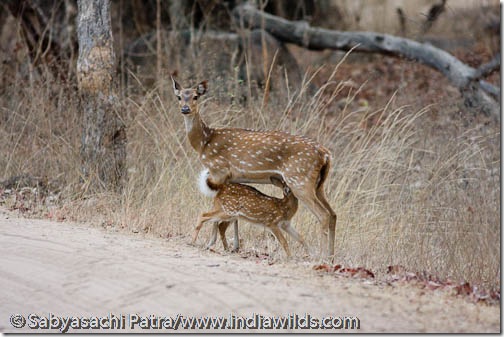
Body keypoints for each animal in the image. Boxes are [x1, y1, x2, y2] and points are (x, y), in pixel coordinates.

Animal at [171, 76, 336, 255]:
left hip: (300, 180)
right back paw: (330, 256)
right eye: (179, 97)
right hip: (318, 185)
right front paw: (231, 245)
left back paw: (321, 255)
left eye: (195, 96)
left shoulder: (218, 170)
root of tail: (326, 154)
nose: (185, 109)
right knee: (333, 214)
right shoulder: (230, 178)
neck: (204, 142)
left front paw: (212, 243)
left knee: (323, 215)